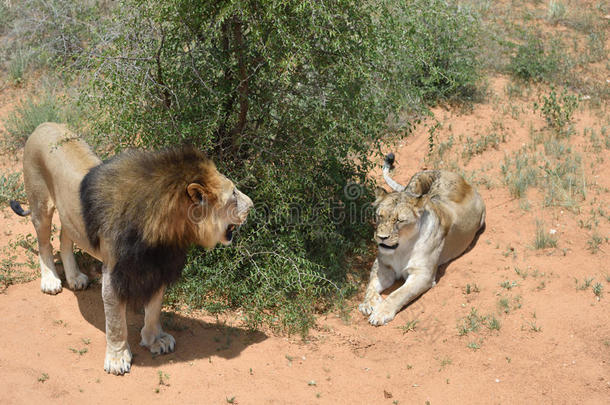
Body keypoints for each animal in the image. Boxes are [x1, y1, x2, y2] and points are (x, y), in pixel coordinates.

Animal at [9, 122, 252, 372]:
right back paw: (50, 280)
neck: (166, 230)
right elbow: (116, 323)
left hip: (69, 216)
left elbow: (154, 308)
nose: (252, 205)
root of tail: (44, 124)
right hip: (40, 206)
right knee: (44, 243)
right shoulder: (114, 274)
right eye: (233, 194)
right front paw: (117, 358)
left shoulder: (158, 266)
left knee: (65, 237)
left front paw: (155, 340)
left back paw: (75, 277)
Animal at [358, 154, 482, 326]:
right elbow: (371, 285)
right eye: (379, 216)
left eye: (399, 220)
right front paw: (368, 303)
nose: (381, 238)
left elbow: (398, 294)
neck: (401, 249)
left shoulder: (423, 275)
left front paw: (380, 312)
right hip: (416, 181)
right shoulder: (384, 267)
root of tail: (461, 178)